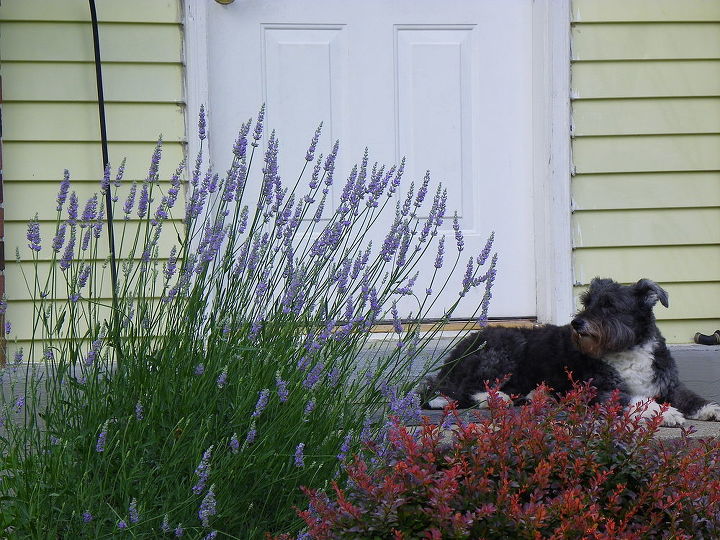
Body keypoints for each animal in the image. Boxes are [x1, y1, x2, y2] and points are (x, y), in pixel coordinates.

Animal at [424, 278, 720, 426]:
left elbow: (690, 396)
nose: (577, 323)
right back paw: (496, 399)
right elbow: (637, 400)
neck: (628, 349)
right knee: (464, 390)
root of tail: (451, 358)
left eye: (609, 305)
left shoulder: (669, 384)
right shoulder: (599, 390)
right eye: (587, 302)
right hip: (505, 347)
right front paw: (665, 413)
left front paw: (709, 409)